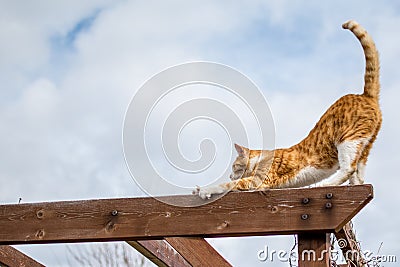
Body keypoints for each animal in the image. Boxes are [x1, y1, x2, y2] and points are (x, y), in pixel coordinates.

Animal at [196, 19, 382, 200]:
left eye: (234, 166)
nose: (230, 174)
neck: (261, 158)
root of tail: (365, 95)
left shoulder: (259, 180)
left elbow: (228, 185)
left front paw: (205, 190)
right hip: (365, 145)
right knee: (359, 175)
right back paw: (355, 185)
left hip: (348, 140)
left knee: (348, 168)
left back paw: (326, 184)